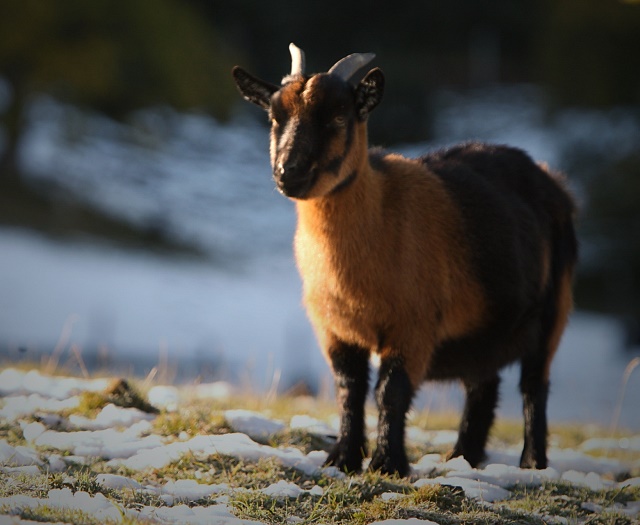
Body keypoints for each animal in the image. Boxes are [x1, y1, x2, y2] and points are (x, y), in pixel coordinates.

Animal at [232, 45, 576, 476]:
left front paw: (387, 463)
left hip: (553, 309)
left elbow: (390, 391)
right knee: (484, 384)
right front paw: (343, 458)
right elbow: (348, 389)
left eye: (339, 117)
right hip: (485, 328)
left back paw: (531, 462)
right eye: (275, 117)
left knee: (534, 384)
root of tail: (551, 180)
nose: (288, 173)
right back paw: (463, 456)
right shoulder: (334, 329)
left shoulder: (413, 326)